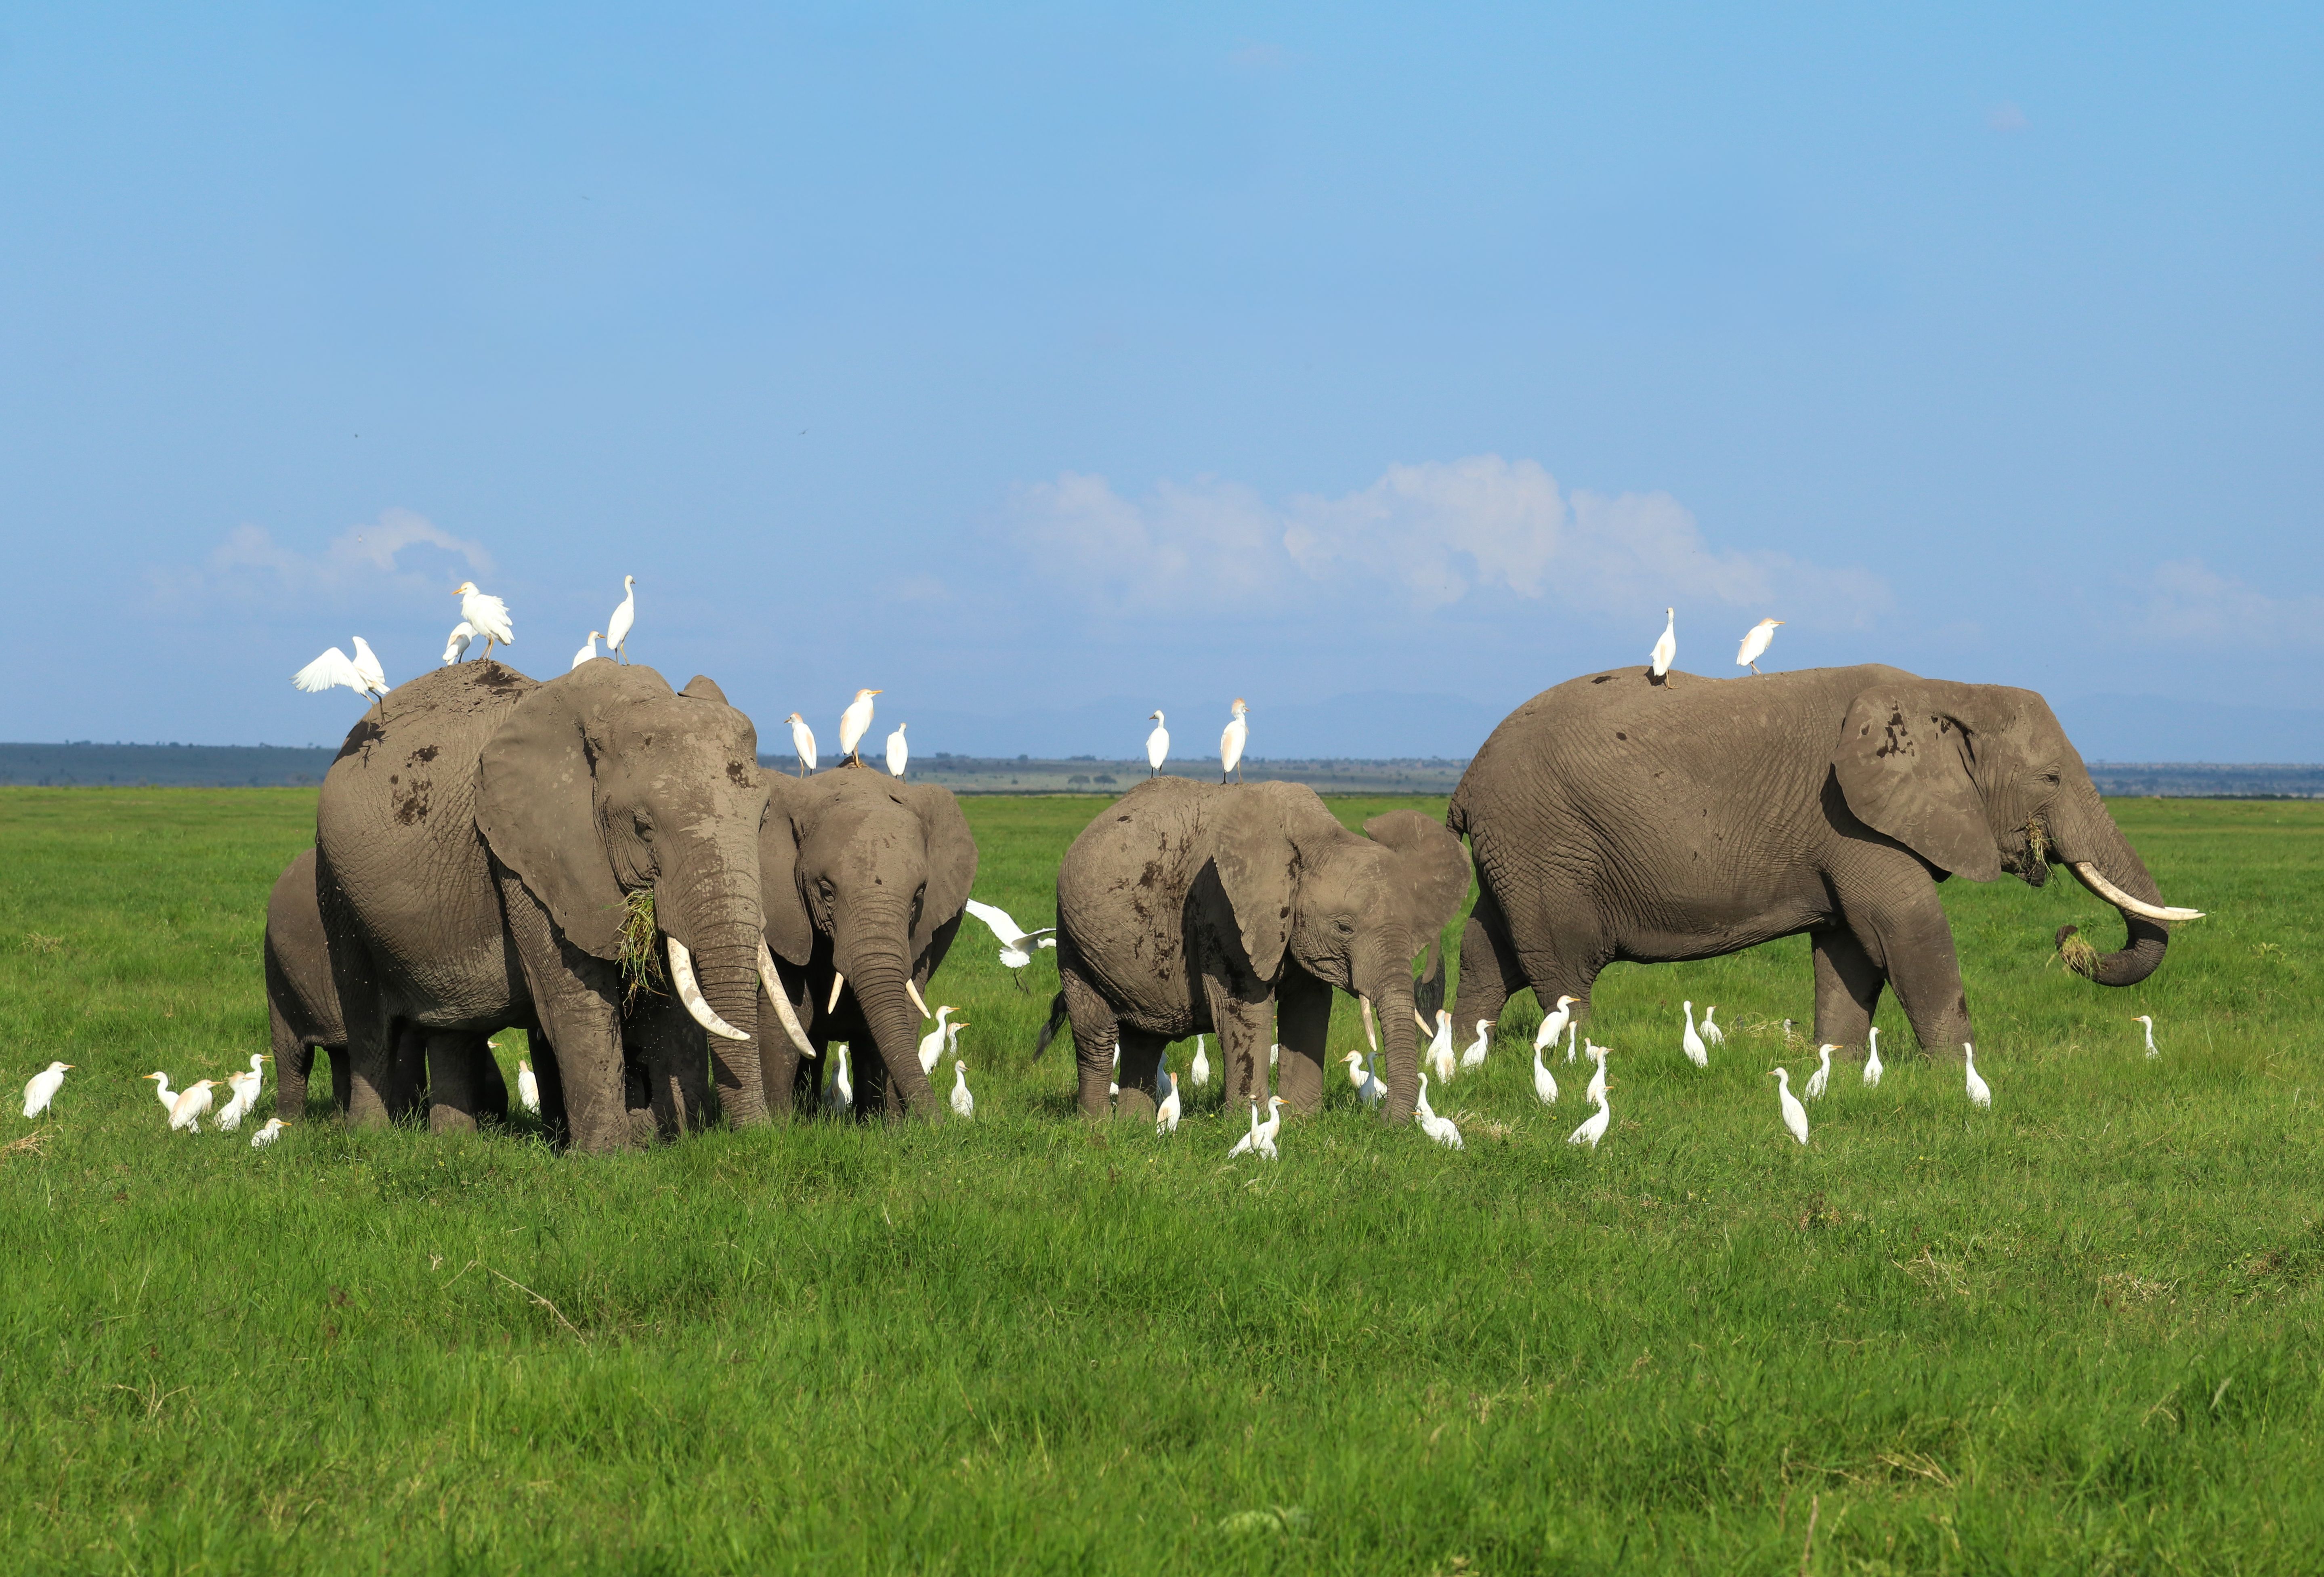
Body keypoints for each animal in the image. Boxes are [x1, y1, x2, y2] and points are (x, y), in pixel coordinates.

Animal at [314, 658, 775, 1152]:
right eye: (643, 827)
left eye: (763, 818)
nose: (762, 1137)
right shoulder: (528, 854)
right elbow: (575, 999)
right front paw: (607, 1156)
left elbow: (665, 1003)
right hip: (335, 884)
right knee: (368, 1023)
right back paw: (370, 1139)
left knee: (452, 1030)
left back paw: (455, 1145)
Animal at [754, 766, 979, 1121]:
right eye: (826, 892)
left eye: (918, 895)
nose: (939, 1126)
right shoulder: (785, 916)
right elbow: (789, 1011)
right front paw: (778, 1125)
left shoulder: (924, 928)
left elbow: (903, 1011)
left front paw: (896, 1127)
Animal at [1039, 778, 1472, 1124]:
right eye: (1344, 928)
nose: (1383, 1121)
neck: (1318, 836)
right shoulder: (1221, 910)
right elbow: (1245, 1011)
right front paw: (1251, 1122)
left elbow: (1309, 1010)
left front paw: (1301, 1121)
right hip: (1074, 942)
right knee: (1096, 1033)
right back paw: (1099, 1128)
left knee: (1143, 1039)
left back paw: (1137, 1128)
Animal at [1446, 663, 2205, 1058]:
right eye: (2049, 778)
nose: (2067, 935)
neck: (1944, 692)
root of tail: (1465, 781)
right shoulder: (1855, 820)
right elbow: (1906, 930)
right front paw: (1960, 1077)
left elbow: (1849, 950)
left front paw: (1834, 1068)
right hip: (1547, 842)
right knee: (1564, 965)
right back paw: (1585, 1066)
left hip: (1518, 851)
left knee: (1488, 953)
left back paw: (1460, 1062)